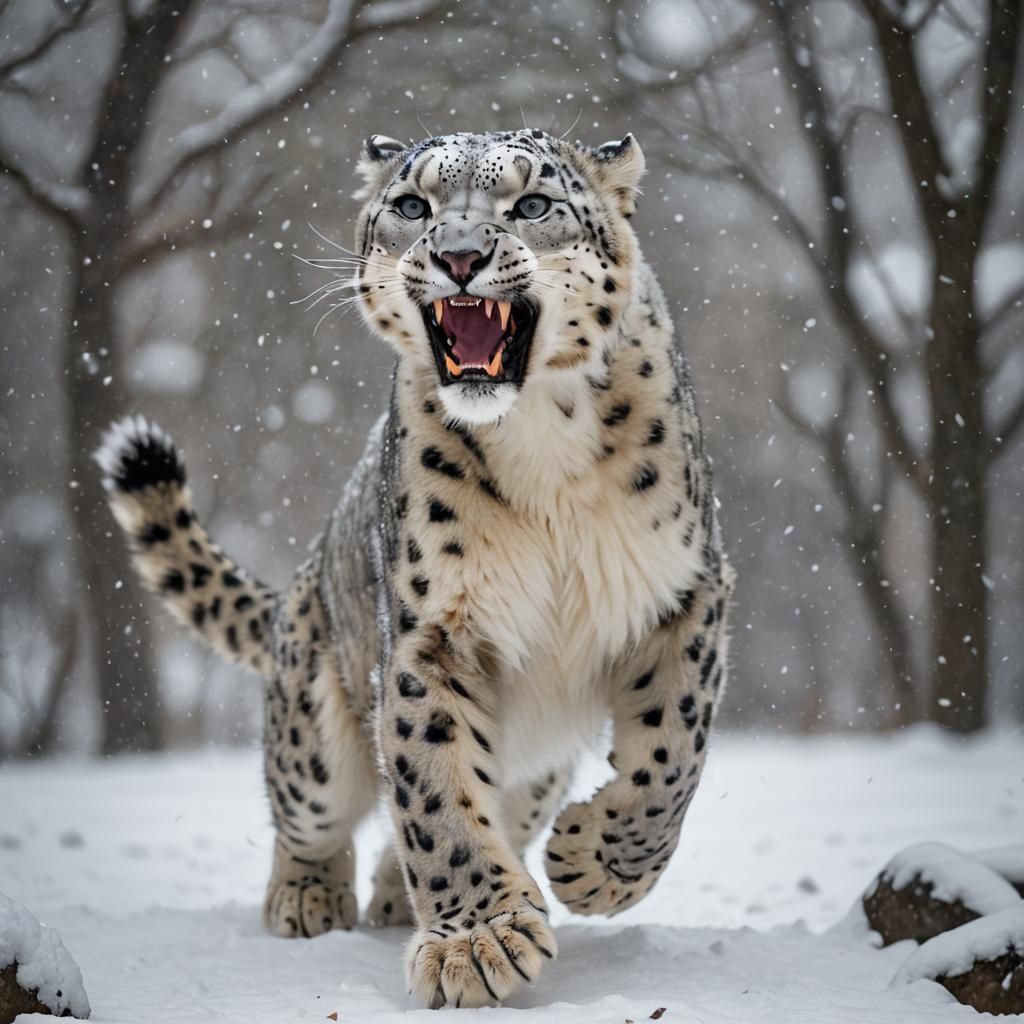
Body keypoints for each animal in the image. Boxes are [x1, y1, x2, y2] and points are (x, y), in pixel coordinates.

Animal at [95, 128, 735, 1009]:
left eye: (533, 204)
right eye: (411, 204)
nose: (459, 256)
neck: (542, 440)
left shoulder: (685, 588)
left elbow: (673, 750)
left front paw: (595, 865)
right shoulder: (435, 629)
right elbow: (434, 783)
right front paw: (480, 940)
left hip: (536, 772)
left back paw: (415, 897)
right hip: (313, 731)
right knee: (311, 809)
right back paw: (308, 897)